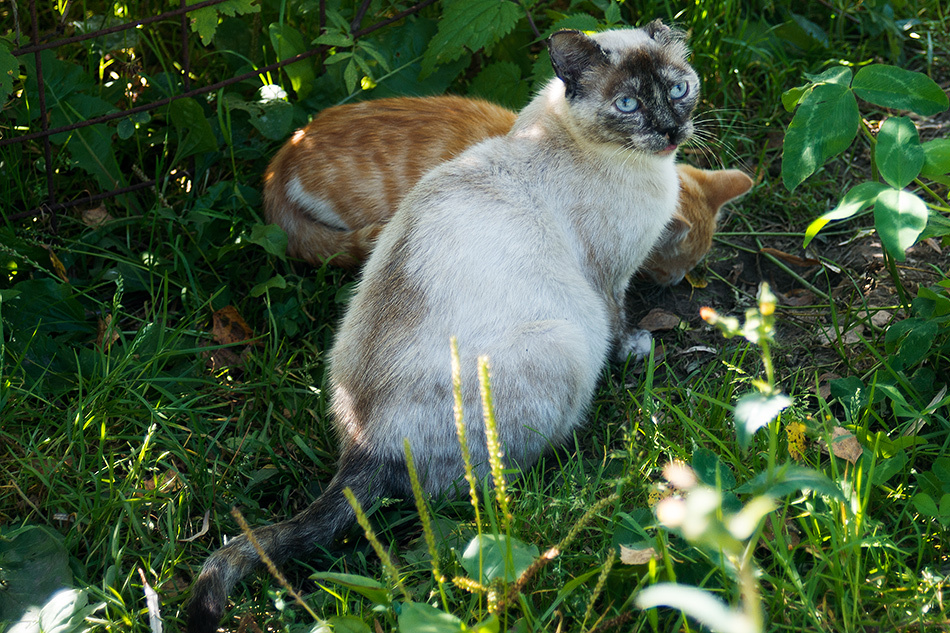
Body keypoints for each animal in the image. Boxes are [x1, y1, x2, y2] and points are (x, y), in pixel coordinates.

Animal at [190, 21, 704, 632]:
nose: (670, 130)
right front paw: (636, 348)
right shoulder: (609, 279)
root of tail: (366, 444)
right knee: (489, 485)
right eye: (628, 104)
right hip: (564, 346)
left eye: (678, 89)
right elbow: (622, 318)